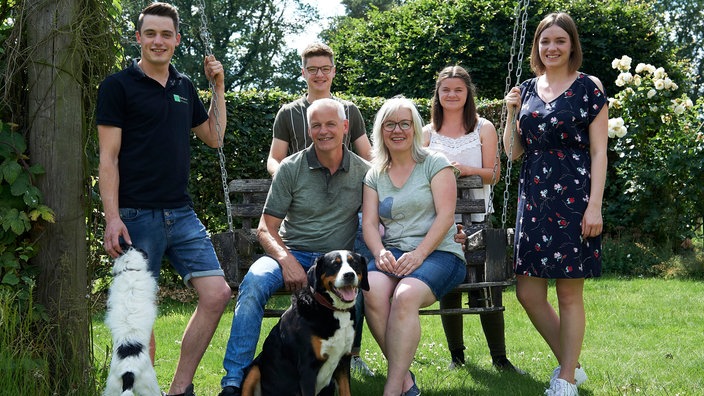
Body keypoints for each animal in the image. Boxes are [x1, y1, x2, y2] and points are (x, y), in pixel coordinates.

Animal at [241, 249, 368, 394]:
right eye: (335, 264)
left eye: (355, 263)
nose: (349, 275)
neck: (334, 310)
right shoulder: (307, 367)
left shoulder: (344, 361)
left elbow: (346, 391)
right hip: (254, 369)